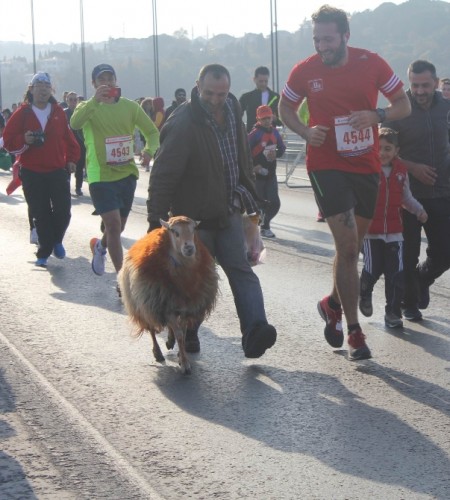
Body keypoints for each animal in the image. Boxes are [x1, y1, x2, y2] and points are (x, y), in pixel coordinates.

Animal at [118, 216, 219, 376]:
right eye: (174, 232)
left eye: (194, 230)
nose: (189, 248)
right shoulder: (166, 307)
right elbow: (179, 334)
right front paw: (185, 364)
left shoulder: (186, 308)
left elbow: (182, 332)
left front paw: (181, 355)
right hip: (145, 305)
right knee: (152, 329)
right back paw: (158, 352)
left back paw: (170, 342)